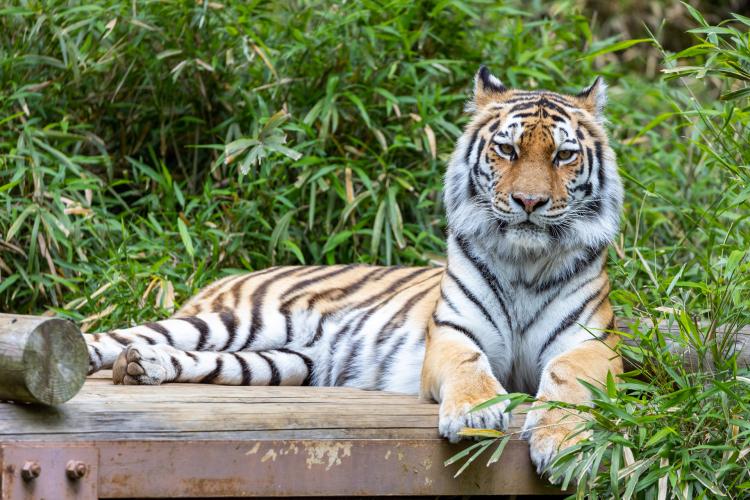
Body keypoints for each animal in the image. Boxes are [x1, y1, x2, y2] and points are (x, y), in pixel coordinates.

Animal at [85, 66, 624, 476]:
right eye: (507, 150)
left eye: (564, 155)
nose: (529, 202)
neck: (524, 263)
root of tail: (223, 278)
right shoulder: (454, 334)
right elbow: (471, 366)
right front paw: (477, 411)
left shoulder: (591, 344)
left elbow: (568, 379)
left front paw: (562, 441)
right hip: (238, 319)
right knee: (109, 338)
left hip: (283, 361)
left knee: (198, 360)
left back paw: (142, 366)